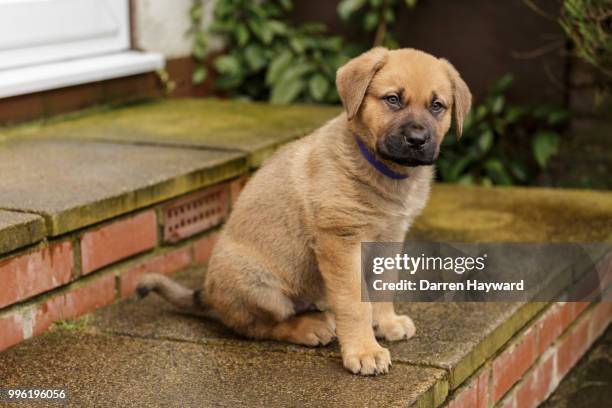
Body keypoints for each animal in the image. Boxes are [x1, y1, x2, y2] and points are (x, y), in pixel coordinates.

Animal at [140, 47, 474, 376]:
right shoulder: (341, 241)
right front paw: (364, 351)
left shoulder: (390, 239)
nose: (417, 140)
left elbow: (382, 287)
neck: (383, 170)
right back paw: (310, 327)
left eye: (437, 106)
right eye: (393, 99)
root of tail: (208, 294)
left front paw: (387, 323)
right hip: (259, 285)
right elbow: (354, 303)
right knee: (260, 327)